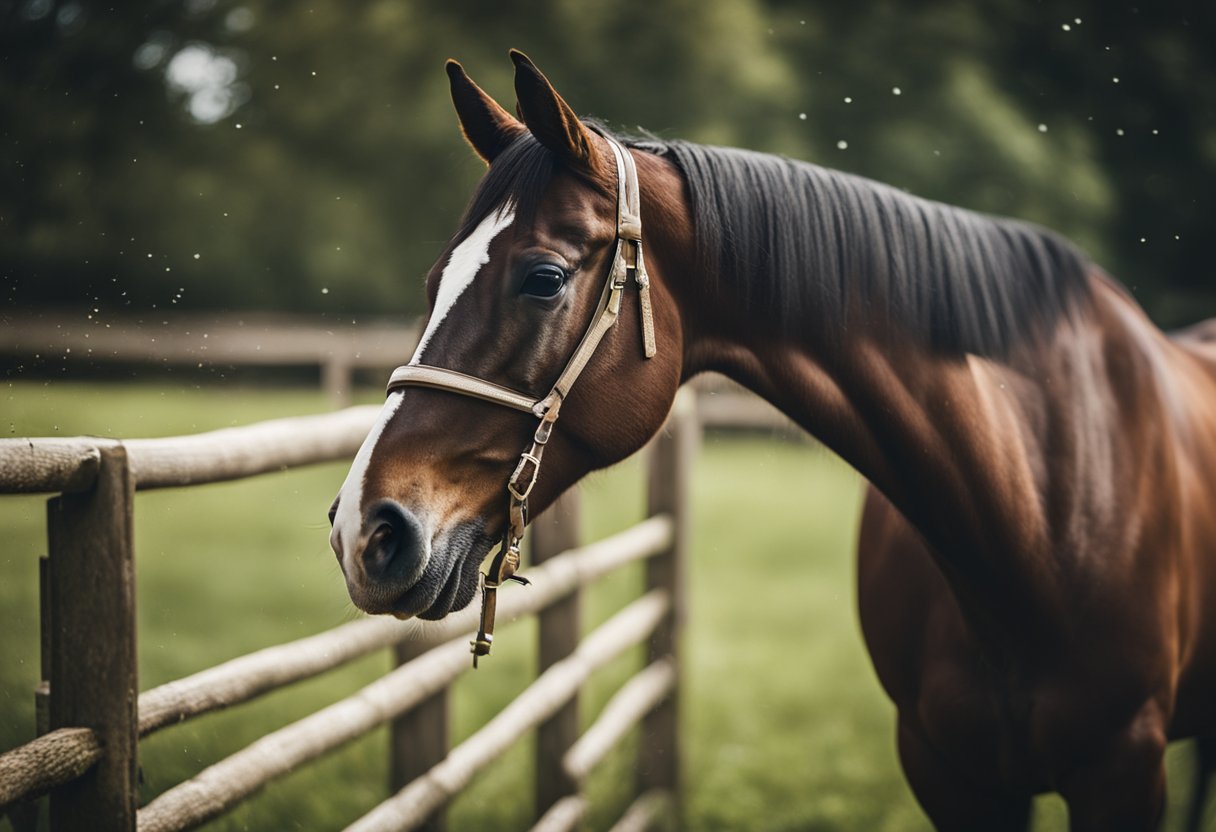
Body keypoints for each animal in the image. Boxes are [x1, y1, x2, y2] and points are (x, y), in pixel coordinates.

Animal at [330, 53, 1216, 832]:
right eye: (436, 279)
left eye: (542, 278)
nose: (365, 532)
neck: (1038, 509)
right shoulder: (951, 774)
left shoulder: (1122, 773)